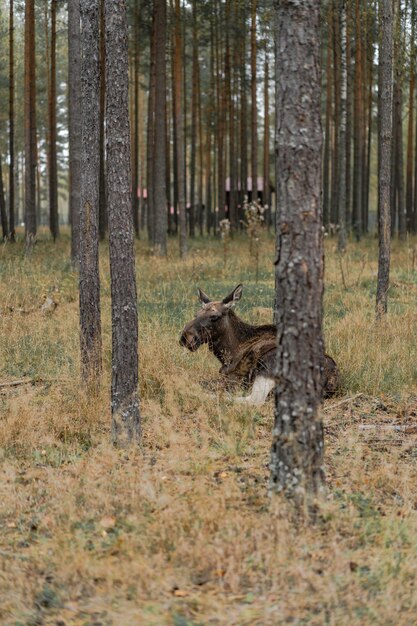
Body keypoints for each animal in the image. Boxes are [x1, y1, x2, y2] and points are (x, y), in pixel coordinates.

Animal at [178, 284, 338, 402]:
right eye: (196, 314)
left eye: (214, 316)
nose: (185, 338)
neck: (228, 352)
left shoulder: (233, 378)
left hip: (266, 367)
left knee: (253, 400)